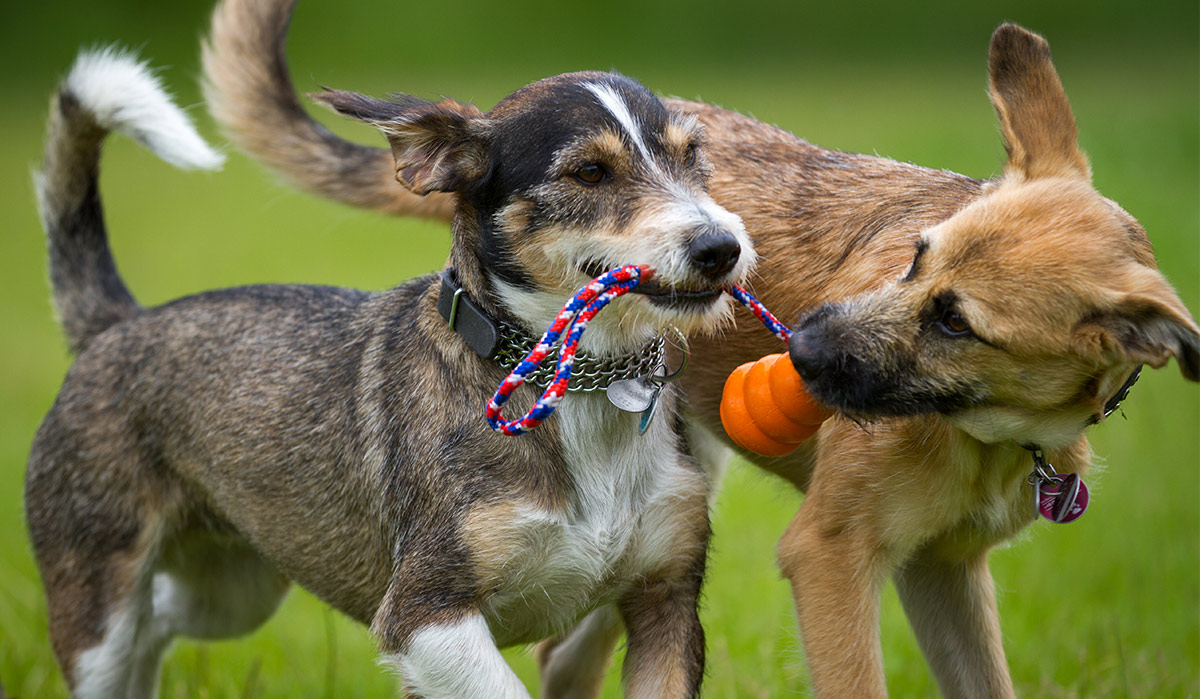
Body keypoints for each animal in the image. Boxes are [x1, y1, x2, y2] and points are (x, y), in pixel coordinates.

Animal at [201, 2, 1195, 696]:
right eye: (914, 255)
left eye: (958, 323)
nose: (804, 345)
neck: (987, 432)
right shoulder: (830, 555)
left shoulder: (946, 572)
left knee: (569, 655)